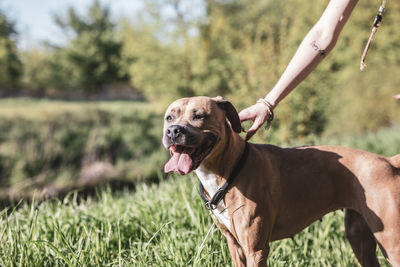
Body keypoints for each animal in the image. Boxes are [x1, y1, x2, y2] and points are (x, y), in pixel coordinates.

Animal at [162, 97, 400, 267]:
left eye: (199, 116)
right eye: (169, 118)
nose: (173, 131)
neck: (228, 168)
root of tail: (389, 162)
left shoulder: (256, 250)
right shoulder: (235, 246)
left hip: (391, 242)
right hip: (359, 238)